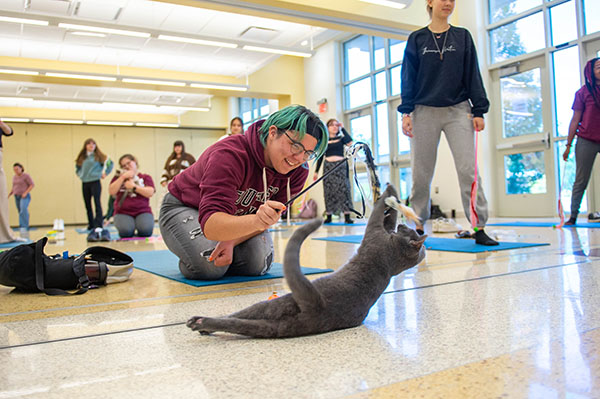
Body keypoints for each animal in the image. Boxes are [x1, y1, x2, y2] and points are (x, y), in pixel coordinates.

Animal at [188, 186, 426, 340]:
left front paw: (389, 192)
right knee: (243, 323)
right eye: (409, 229)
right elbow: (388, 216)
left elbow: (380, 214)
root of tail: (318, 306)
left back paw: (200, 322)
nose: (406, 226)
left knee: (237, 318)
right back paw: (203, 326)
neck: (393, 258)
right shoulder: (381, 235)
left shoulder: (375, 233)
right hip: (276, 326)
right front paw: (391, 194)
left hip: (275, 308)